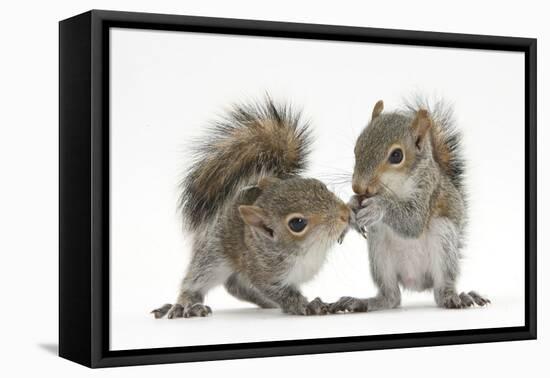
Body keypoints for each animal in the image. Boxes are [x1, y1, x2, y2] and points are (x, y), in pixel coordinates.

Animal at [151, 96, 352, 318]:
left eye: (320, 185)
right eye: (297, 223)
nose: (344, 214)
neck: (308, 250)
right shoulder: (262, 272)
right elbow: (280, 292)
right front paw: (304, 305)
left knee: (237, 286)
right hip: (213, 255)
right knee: (198, 280)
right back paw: (185, 304)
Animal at [332, 98, 492, 314]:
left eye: (396, 155)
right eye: (357, 147)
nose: (358, 187)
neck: (395, 186)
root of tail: (416, 282)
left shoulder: (427, 191)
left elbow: (413, 222)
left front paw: (377, 207)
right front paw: (351, 207)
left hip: (443, 239)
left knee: (440, 291)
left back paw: (457, 297)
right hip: (379, 250)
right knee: (391, 297)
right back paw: (362, 302)